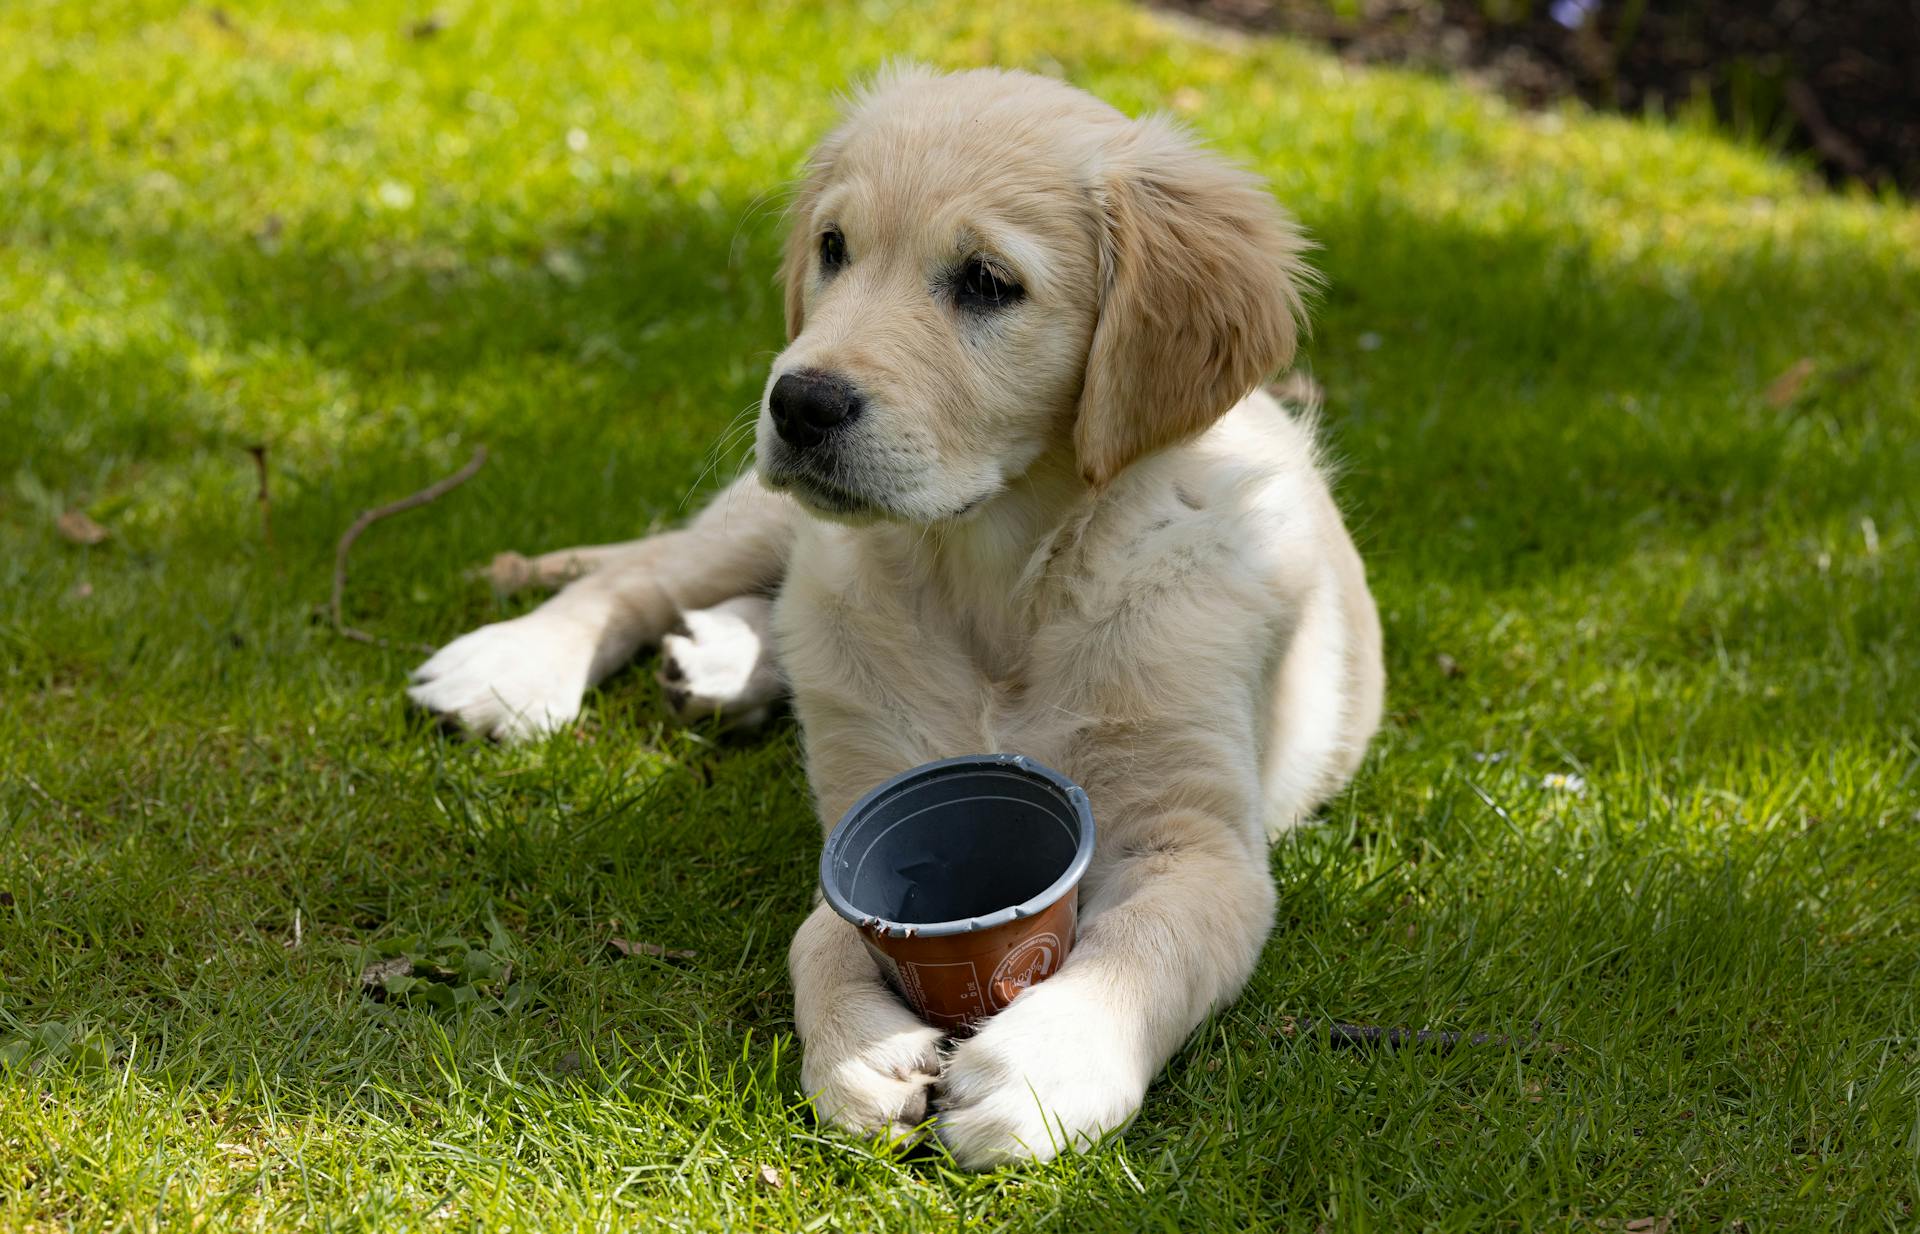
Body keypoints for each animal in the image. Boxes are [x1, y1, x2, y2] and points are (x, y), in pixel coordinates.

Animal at [416, 65, 1382, 1166]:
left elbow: (1150, 942)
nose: (799, 402)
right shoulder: (866, 792)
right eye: (835, 247)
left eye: (988, 281)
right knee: (645, 574)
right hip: (768, 514)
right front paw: (855, 1048)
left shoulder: (1202, 841)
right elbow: (821, 929)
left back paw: (725, 661)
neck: (998, 577)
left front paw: (1043, 1070)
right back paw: (515, 665)